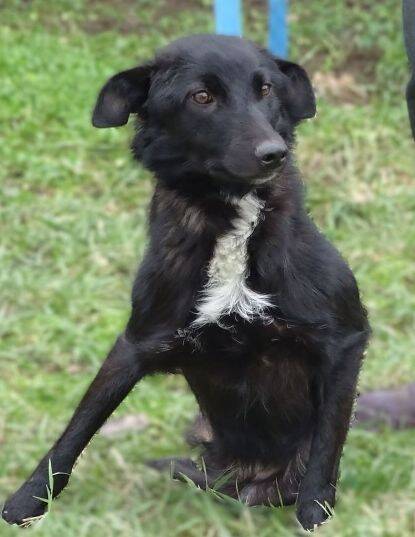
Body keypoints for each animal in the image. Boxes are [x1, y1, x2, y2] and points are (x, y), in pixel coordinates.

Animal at [2, 35, 370, 531]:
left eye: (266, 90)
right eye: (202, 96)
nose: (273, 153)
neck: (230, 222)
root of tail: (246, 483)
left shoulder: (345, 335)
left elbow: (327, 442)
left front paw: (315, 513)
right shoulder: (138, 340)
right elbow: (78, 427)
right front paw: (26, 502)